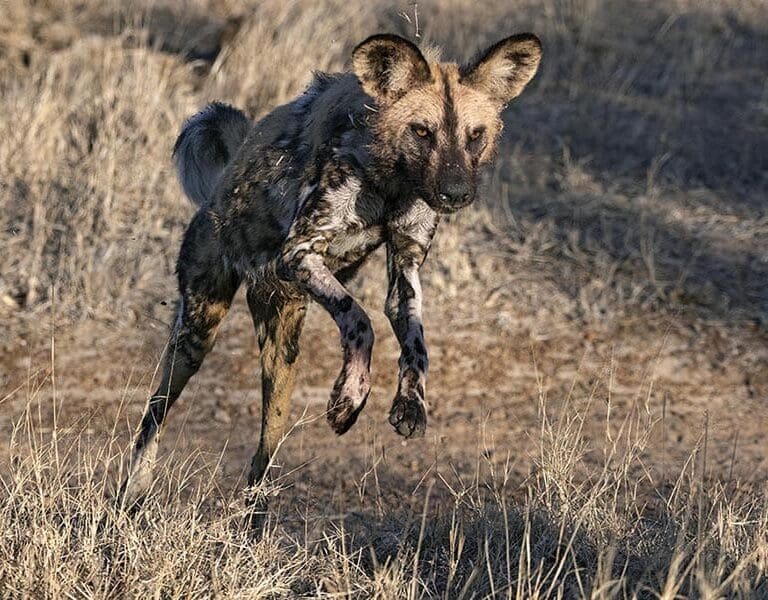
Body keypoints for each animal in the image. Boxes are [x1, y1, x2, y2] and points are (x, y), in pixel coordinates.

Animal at [119, 32, 542, 520]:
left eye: (475, 136)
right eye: (421, 131)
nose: (456, 193)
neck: (391, 181)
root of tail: (220, 186)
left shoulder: (406, 265)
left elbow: (417, 346)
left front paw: (410, 406)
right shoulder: (299, 254)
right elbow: (360, 320)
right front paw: (350, 399)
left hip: (281, 360)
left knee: (261, 459)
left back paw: (253, 527)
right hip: (195, 336)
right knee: (151, 421)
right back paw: (130, 498)